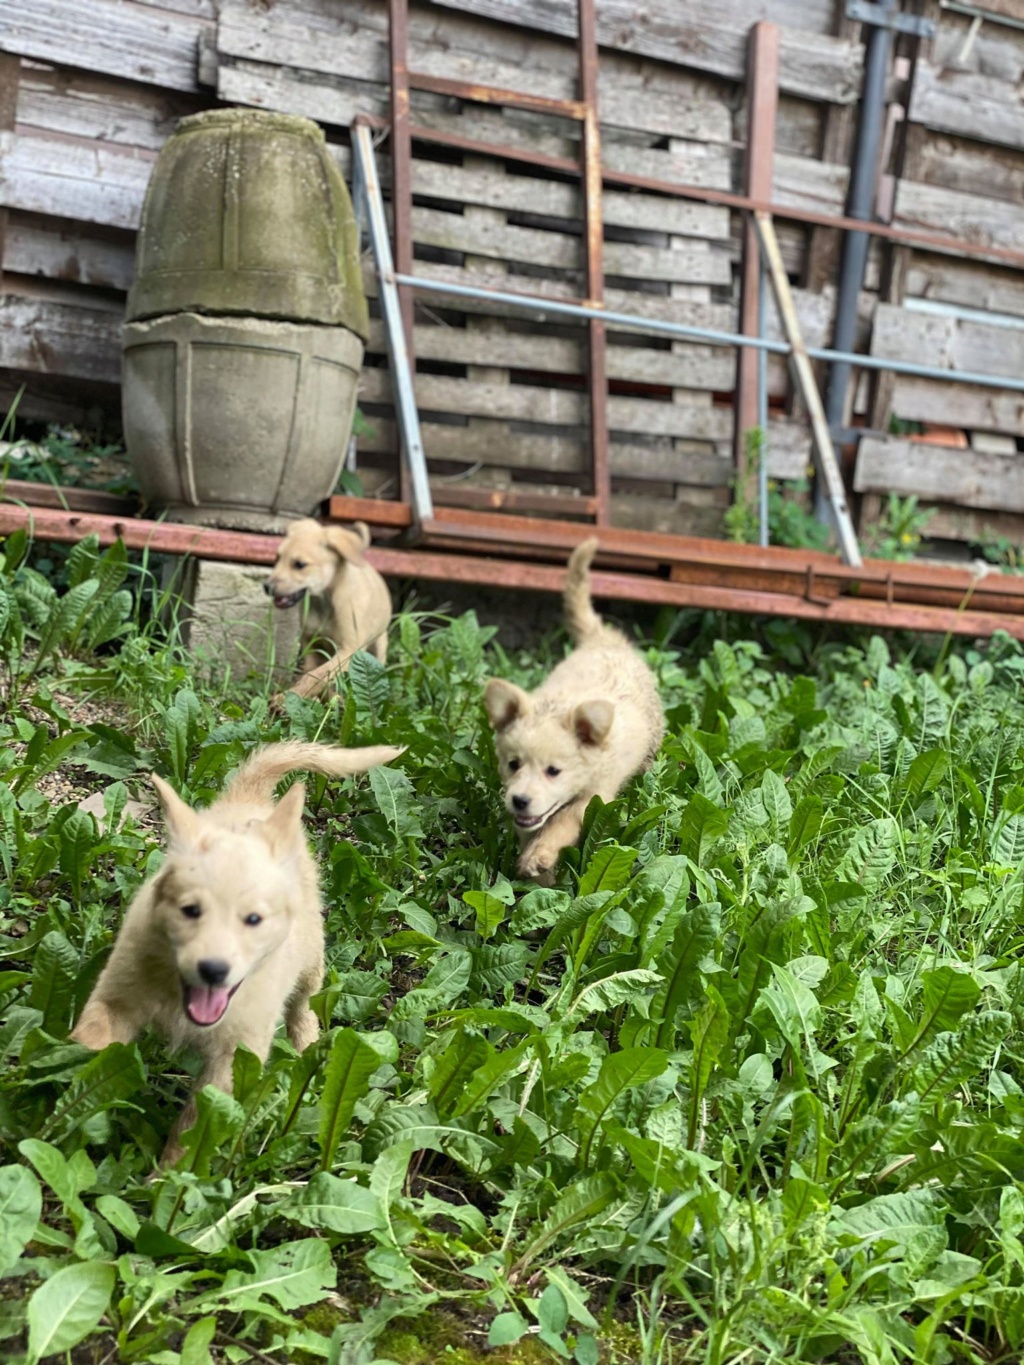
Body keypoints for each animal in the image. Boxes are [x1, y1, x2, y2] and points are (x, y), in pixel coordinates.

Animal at [69, 737, 401, 1162]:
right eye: (190, 910)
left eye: (254, 919)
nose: (213, 969)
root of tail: (250, 801)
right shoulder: (118, 995)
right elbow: (91, 1038)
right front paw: (62, 1083)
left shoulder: (236, 1057)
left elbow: (196, 1123)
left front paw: (170, 1170)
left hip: (311, 958)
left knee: (304, 1005)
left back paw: (306, 1050)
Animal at [264, 515, 393, 698]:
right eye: (277, 558)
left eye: (299, 565)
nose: (266, 587)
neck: (324, 602)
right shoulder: (311, 643)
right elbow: (313, 673)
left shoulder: (349, 650)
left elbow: (318, 675)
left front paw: (288, 697)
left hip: (378, 647)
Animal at [486, 540, 669, 884]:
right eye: (513, 764)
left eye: (554, 771)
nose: (519, 800)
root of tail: (605, 640)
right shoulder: (532, 814)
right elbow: (533, 829)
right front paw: (540, 879)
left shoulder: (595, 797)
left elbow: (563, 823)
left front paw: (541, 856)